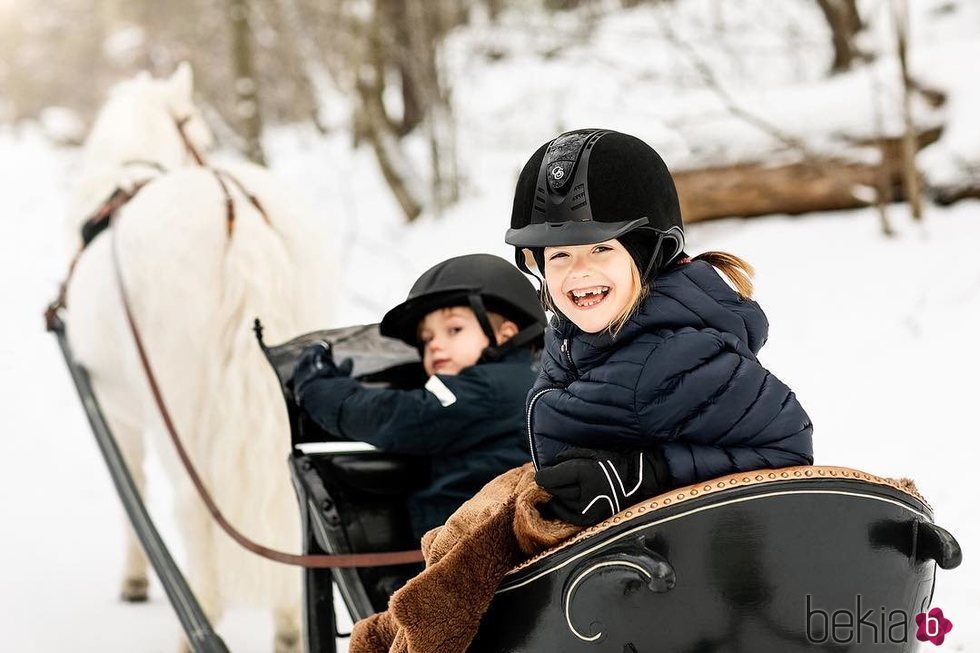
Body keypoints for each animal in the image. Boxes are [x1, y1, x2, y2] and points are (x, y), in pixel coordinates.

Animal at [66, 62, 334, 652]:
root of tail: (236, 211)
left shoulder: (116, 412)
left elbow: (132, 491)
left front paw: (134, 581)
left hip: (177, 411)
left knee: (191, 508)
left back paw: (198, 623)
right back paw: (289, 622)